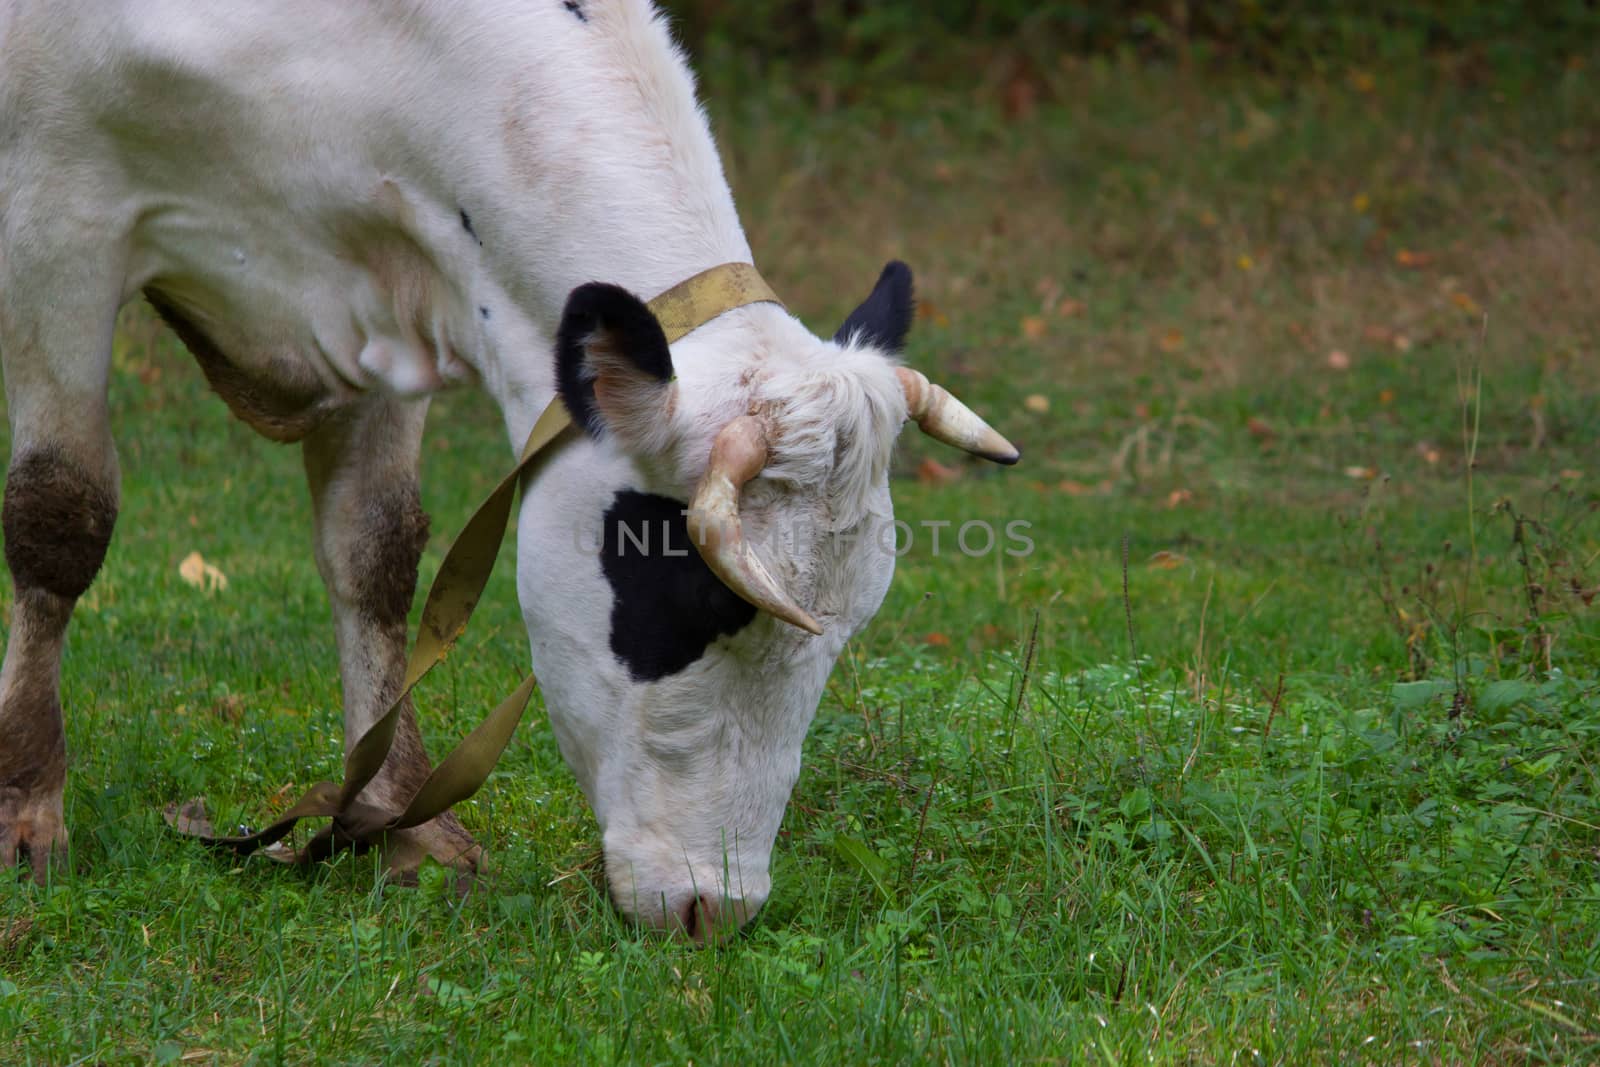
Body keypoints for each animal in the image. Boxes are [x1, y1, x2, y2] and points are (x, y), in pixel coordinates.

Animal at [0, 0, 1017, 940]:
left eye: (849, 629)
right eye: (685, 599)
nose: (714, 907)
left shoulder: (384, 282)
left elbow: (375, 548)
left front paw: (397, 821)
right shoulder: (57, 215)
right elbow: (61, 512)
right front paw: (27, 809)